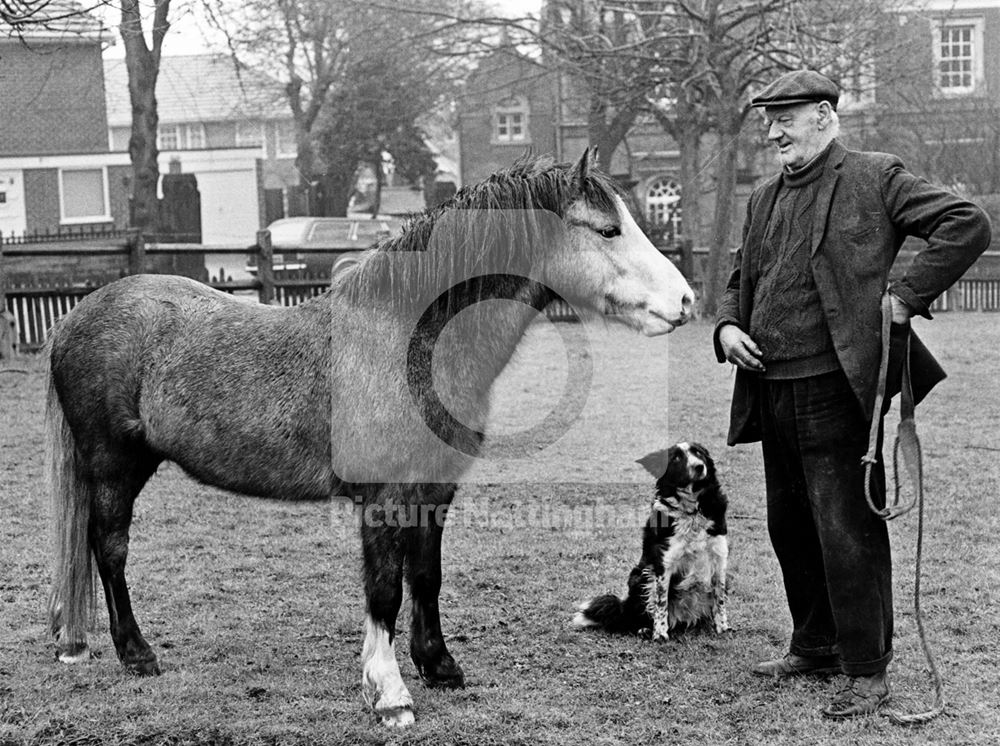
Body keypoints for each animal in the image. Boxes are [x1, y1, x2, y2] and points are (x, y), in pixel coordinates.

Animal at [576, 442, 732, 640]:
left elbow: (720, 600)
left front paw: (723, 628)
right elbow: (660, 602)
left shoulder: (719, 557)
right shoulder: (663, 563)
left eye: (698, 453)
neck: (692, 511)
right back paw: (645, 629)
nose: (699, 466)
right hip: (639, 576)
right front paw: (660, 634)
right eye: (676, 458)